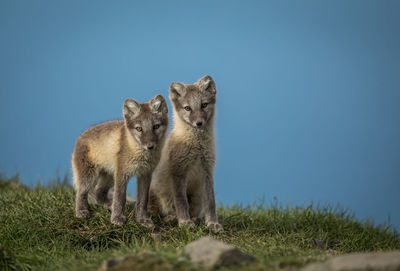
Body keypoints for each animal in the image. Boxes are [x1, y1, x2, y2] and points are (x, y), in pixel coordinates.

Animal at [72, 94, 168, 228]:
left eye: (156, 126)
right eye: (139, 129)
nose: (150, 146)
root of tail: (80, 136)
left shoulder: (145, 174)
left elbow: (143, 200)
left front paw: (142, 219)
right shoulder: (122, 173)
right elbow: (120, 198)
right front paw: (117, 218)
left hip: (109, 177)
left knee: (98, 192)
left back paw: (108, 206)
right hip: (90, 176)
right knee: (81, 192)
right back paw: (81, 211)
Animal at [149, 76, 223, 234]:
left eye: (204, 105)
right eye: (187, 108)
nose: (199, 123)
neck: (197, 147)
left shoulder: (207, 171)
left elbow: (211, 203)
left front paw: (212, 223)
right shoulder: (179, 171)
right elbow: (181, 202)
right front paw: (184, 222)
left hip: (197, 198)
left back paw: (196, 219)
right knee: (160, 214)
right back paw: (172, 218)